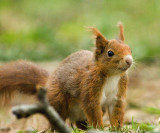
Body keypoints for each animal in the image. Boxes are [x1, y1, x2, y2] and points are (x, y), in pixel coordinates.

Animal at [0, 23, 132, 129]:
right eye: (110, 53)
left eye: (129, 49)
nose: (129, 60)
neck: (112, 75)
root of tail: (48, 83)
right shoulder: (90, 86)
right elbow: (92, 109)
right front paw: (99, 128)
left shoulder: (118, 94)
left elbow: (116, 113)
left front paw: (117, 129)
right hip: (58, 101)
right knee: (55, 121)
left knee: (80, 123)